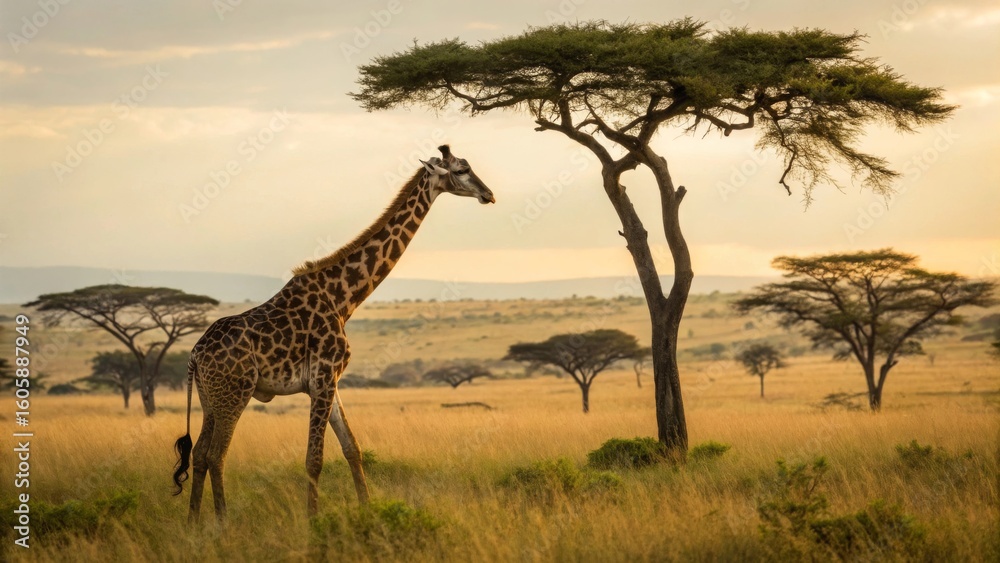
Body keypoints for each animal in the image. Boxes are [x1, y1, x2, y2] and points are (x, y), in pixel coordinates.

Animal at [172, 145, 494, 521]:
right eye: (461, 169)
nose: (489, 195)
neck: (343, 298)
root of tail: (195, 355)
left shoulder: (330, 381)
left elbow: (352, 448)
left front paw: (367, 511)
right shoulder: (323, 378)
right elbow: (314, 459)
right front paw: (313, 522)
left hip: (210, 398)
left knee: (199, 455)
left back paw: (193, 522)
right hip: (234, 393)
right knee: (216, 455)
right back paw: (222, 523)